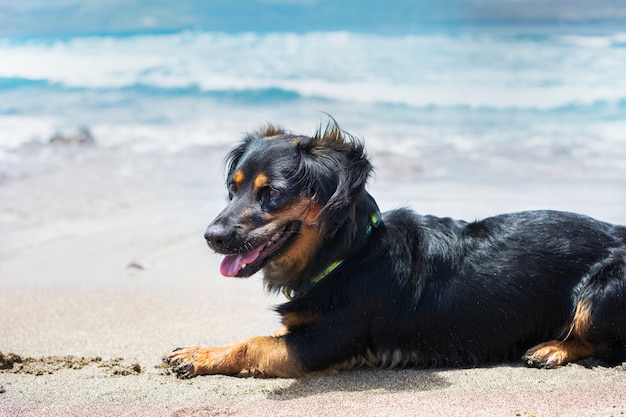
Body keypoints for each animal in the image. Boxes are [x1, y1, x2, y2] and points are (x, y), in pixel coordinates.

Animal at [162, 118, 624, 376]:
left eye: (271, 193)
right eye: (233, 188)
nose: (211, 236)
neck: (349, 257)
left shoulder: (323, 341)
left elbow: (254, 343)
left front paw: (199, 357)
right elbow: (260, 335)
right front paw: (202, 350)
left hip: (601, 291)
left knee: (607, 344)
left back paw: (552, 349)